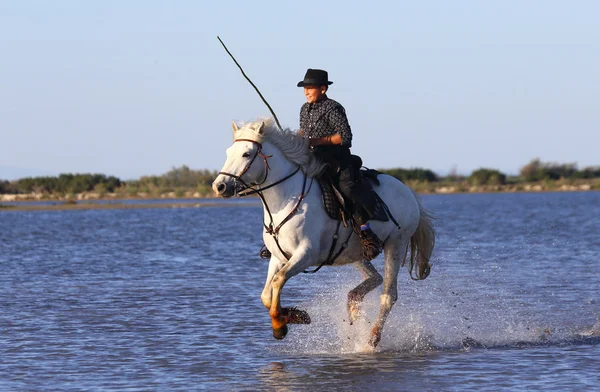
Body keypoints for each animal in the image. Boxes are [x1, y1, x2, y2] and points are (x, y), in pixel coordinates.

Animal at [213, 118, 434, 346]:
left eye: (246, 154)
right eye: (229, 152)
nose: (219, 186)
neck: (285, 199)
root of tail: (409, 192)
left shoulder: (305, 255)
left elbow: (278, 280)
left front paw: (280, 326)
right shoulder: (278, 257)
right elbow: (266, 294)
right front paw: (295, 315)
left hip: (396, 244)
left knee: (388, 295)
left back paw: (372, 339)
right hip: (354, 252)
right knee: (376, 278)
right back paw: (353, 305)